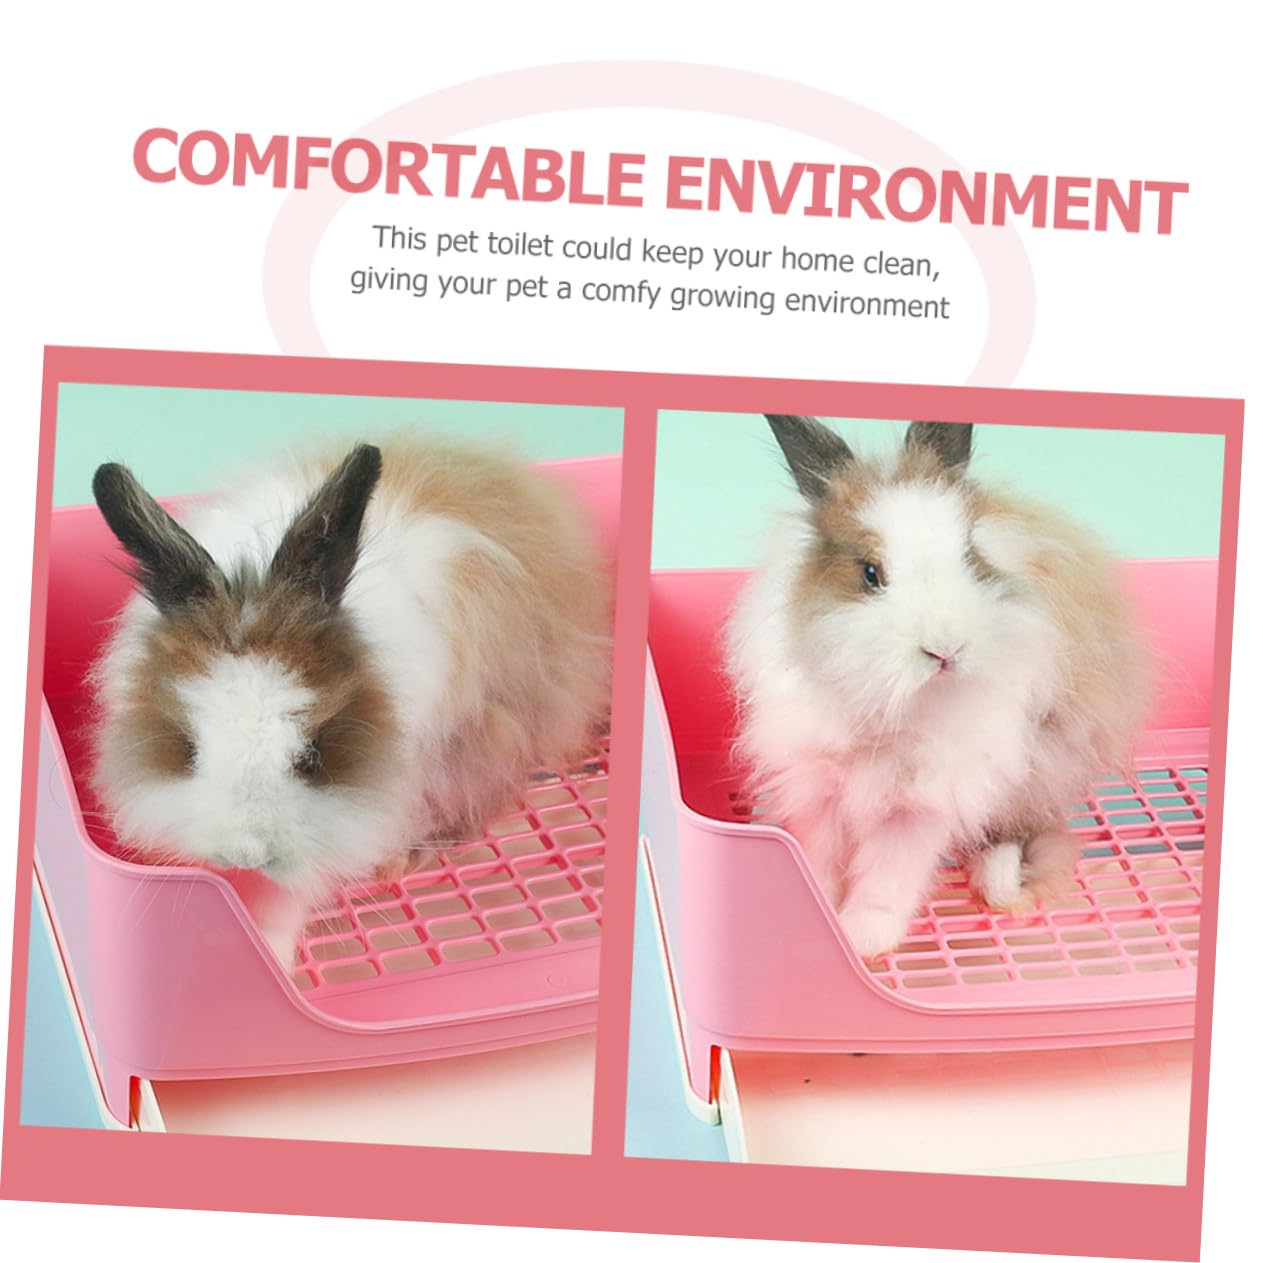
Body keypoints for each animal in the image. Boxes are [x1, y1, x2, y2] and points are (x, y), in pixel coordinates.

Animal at [724, 415, 1150, 960]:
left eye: (970, 558)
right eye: (870, 573)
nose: (945, 648)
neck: (896, 705)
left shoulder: (922, 804)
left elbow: (889, 875)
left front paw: (863, 938)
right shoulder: (817, 785)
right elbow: (821, 858)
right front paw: (820, 909)